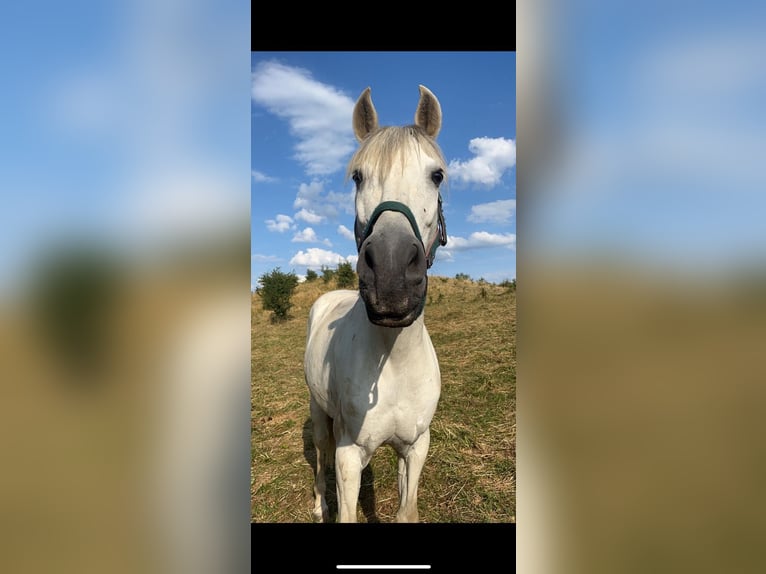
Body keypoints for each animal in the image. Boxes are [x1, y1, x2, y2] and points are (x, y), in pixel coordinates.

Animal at [304, 85, 448, 523]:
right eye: (357, 176)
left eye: (436, 175)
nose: (390, 273)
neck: (394, 360)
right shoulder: (350, 456)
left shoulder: (416, 447)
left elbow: (407, 511)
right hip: (320, 415)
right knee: (321, 456)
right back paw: (319, 504)